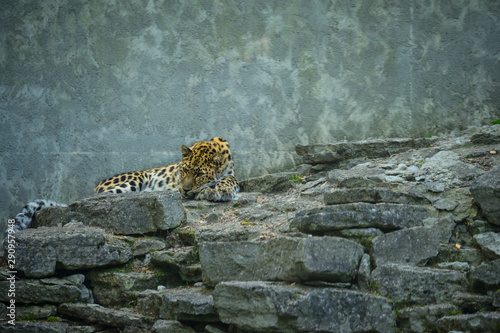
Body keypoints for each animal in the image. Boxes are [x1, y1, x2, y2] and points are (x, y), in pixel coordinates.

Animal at [96, 136, 242, 201]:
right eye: (184, 170)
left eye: (200, 175)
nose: (185, 189)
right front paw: (208, 191)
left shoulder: (231, 173)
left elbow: (230, 179)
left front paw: (224, 189)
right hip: (133, 181)